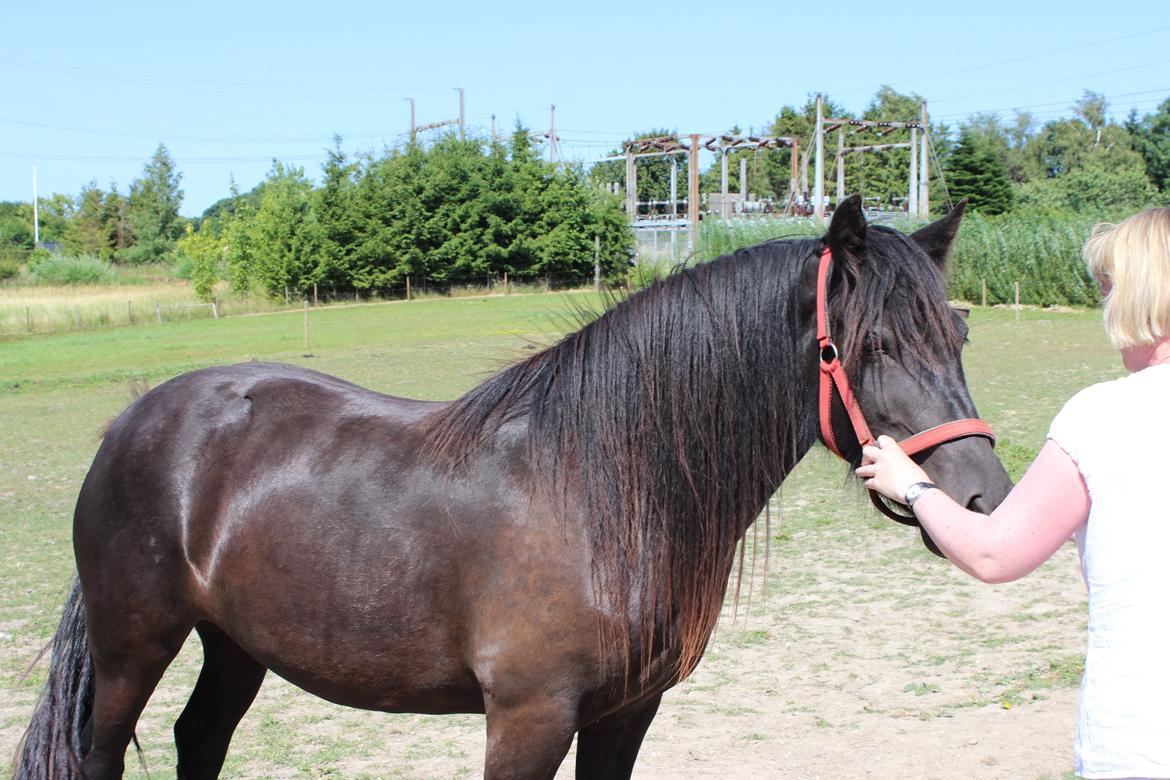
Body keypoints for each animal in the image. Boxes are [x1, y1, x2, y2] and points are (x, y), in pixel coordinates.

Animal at [14, 195, 1012, 780]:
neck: (601, 489)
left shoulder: (625, 714)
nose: (985, 504)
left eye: (960, 335)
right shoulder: (528, 719)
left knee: (202, 739)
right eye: (872, 346)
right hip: (133, 647)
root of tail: (135, 419)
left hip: (234, 645)